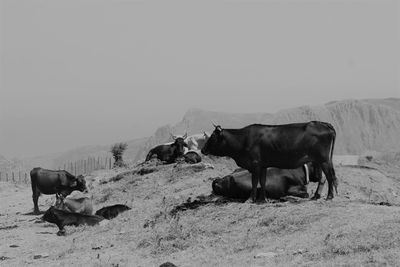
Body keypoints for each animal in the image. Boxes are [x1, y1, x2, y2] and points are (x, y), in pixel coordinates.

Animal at [203, 122, 338, 203]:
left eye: (212, 137)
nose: (203, 149)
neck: (243, 140)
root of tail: (324, 124)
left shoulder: (255, 164)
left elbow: (254, 182)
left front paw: (251, 199)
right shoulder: (263, 165)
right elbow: (262, 181)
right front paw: (263, 199)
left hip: (324, 159)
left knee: (329, 176)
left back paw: (329, 196)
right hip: (321, 160)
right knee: (326, 177)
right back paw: (318, 196)